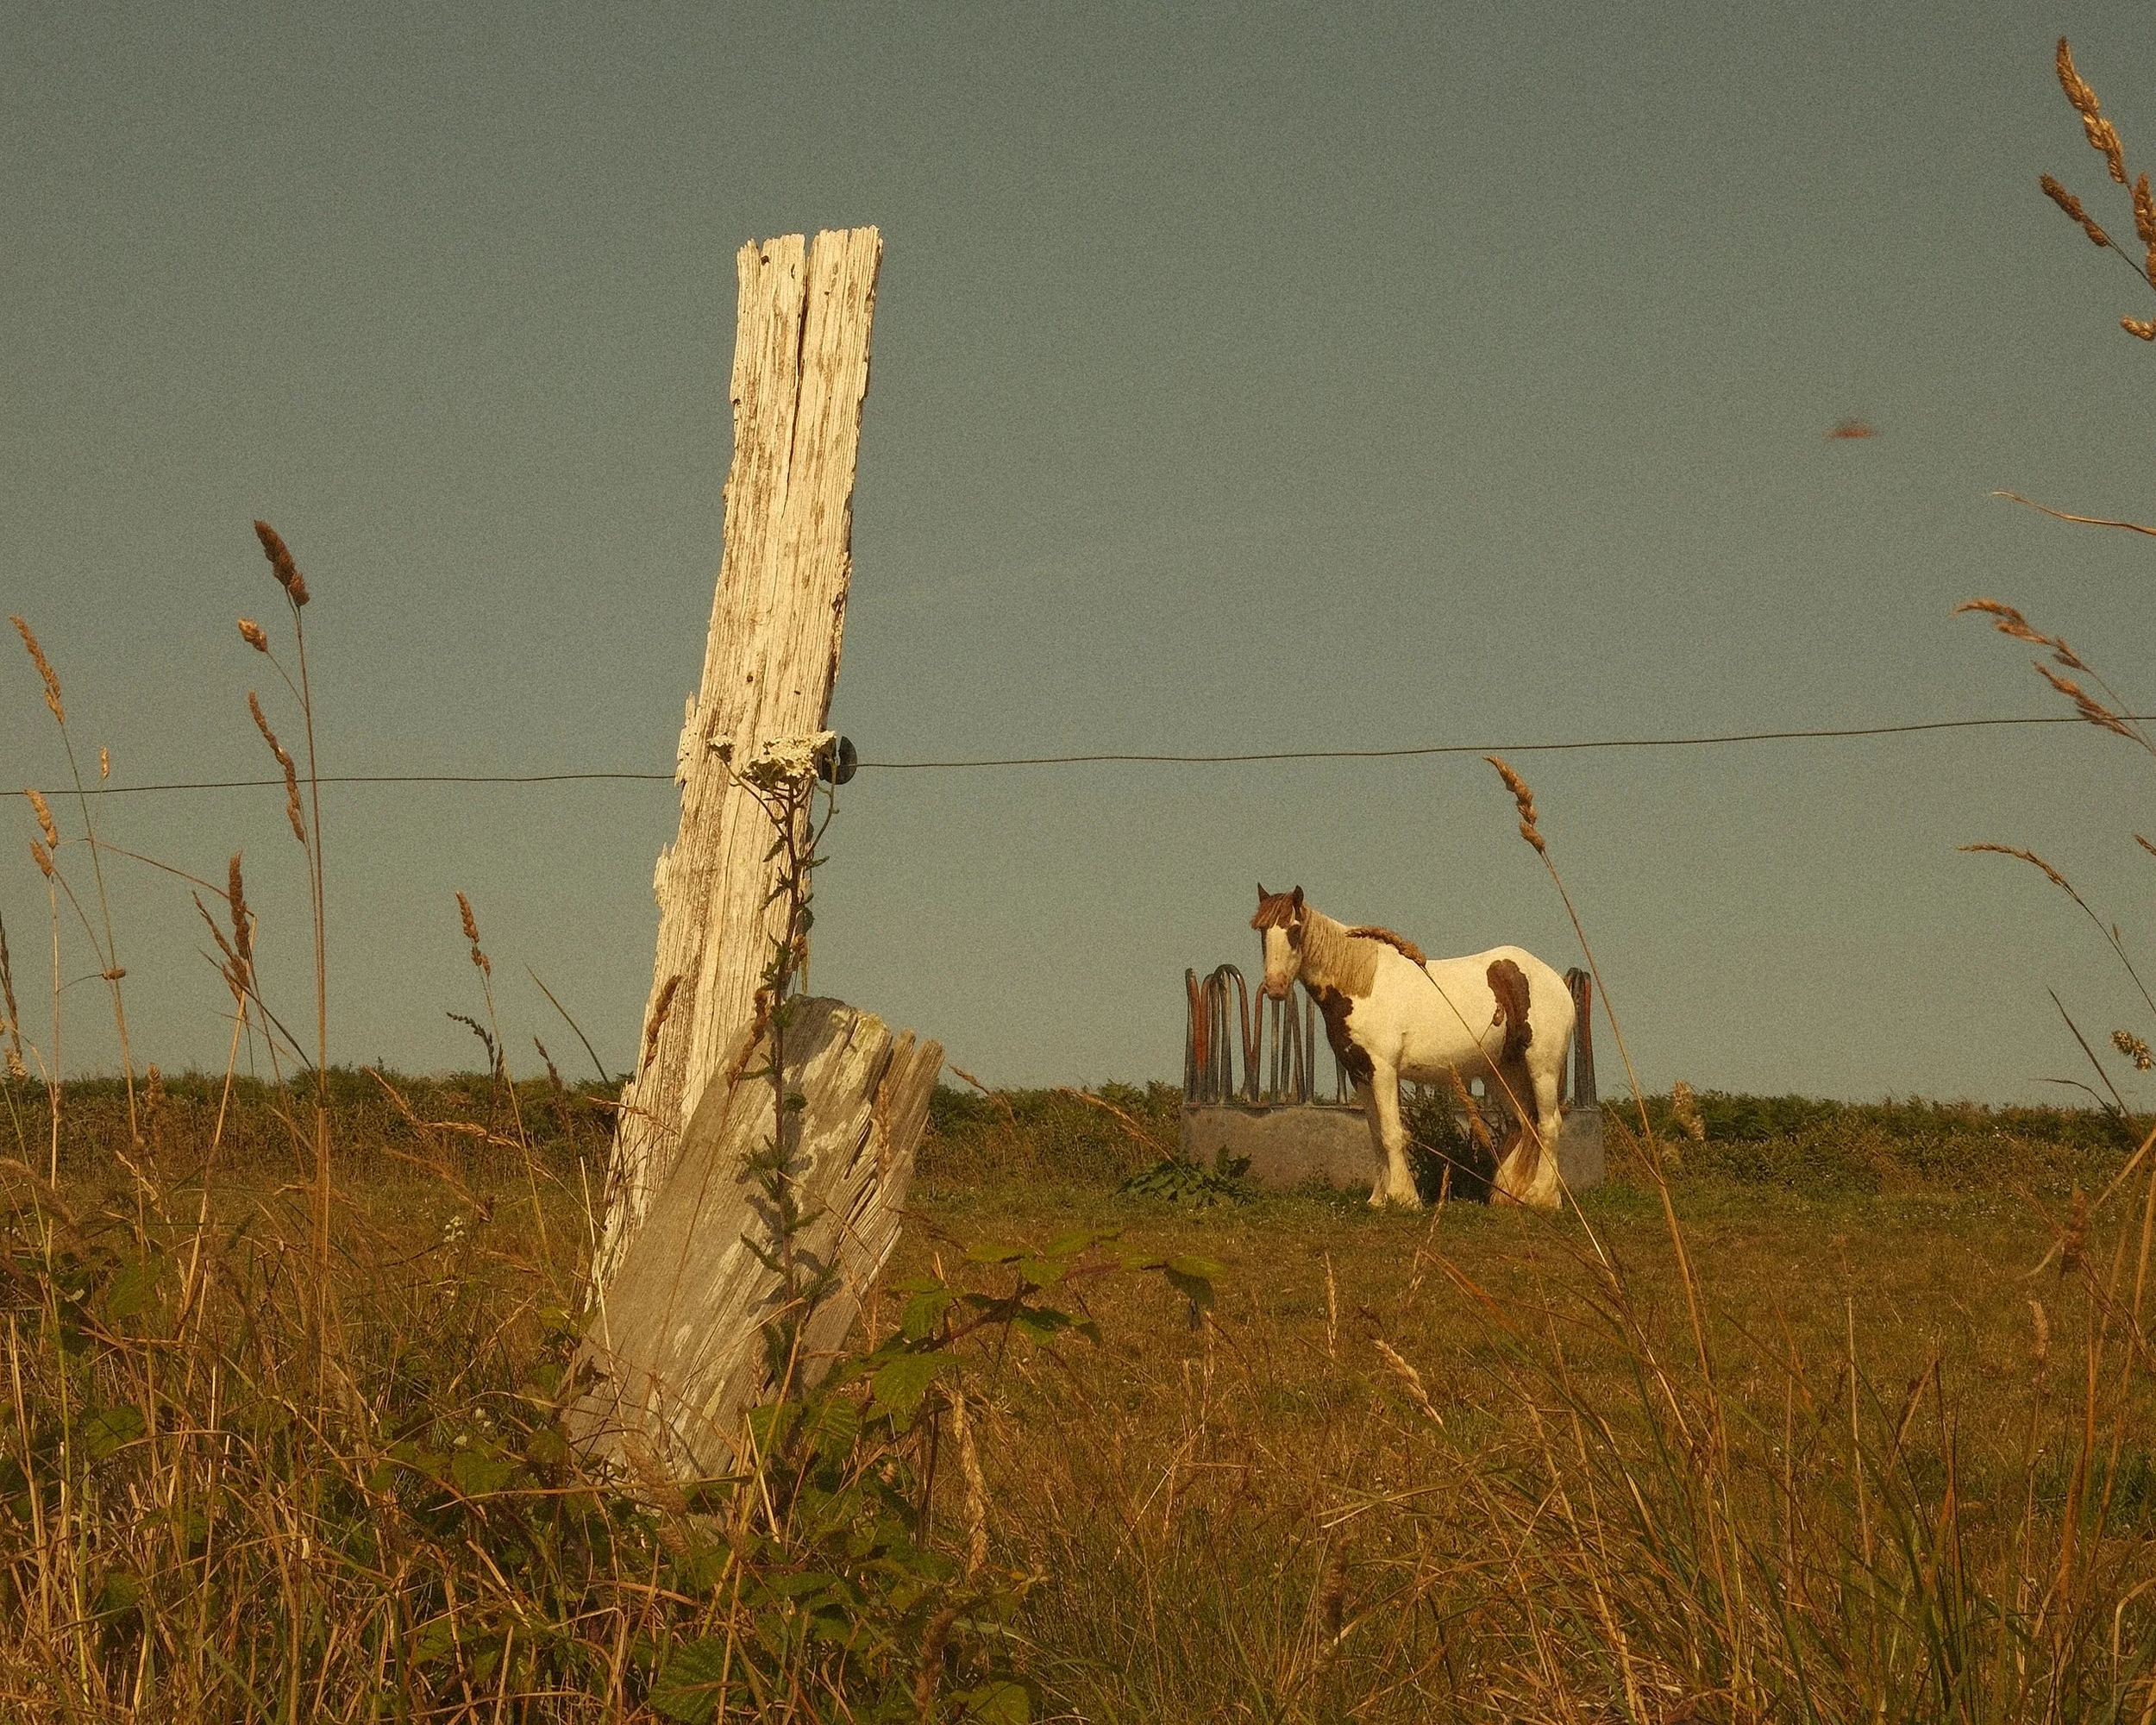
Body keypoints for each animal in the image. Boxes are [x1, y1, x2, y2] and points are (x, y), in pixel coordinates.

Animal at [1252, 885, 1576, 1210]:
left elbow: (1391, 1133)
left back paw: (1540, 1197)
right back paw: (1513, 1196)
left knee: (1549, 1125)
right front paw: (1378, 1198)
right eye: (1262, 930)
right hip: (1503, 1073)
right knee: (1526, 1123)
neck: (1362, 987)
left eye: (1295, 929)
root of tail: (1555, 981)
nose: (1276, 987)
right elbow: (1376, 1135)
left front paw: (1403, 1197)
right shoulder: (1360, 1075)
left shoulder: (1383, 1070)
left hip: (1542, 1068)